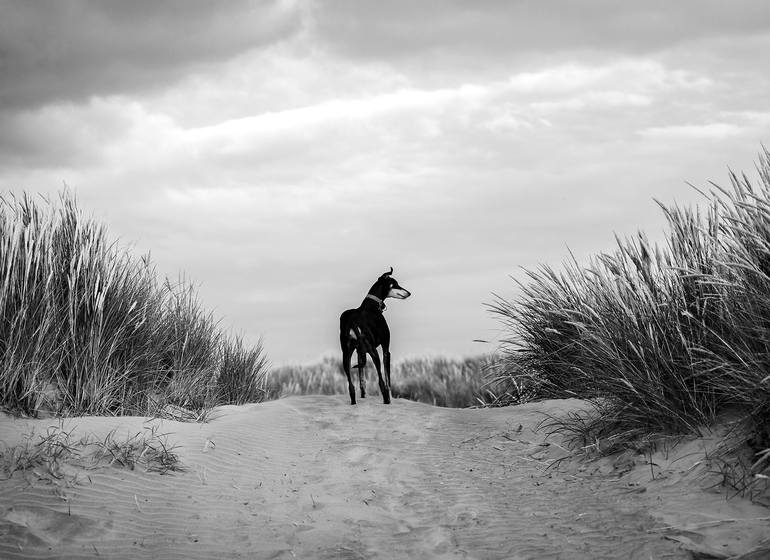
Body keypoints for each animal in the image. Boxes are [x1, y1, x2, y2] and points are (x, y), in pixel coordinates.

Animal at [338, 266, 408, 402]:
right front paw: (391, 398)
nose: (409, 293)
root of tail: (352, 320)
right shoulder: (386, 349)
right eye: (394, 284)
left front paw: (364, 396)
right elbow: (387, 379)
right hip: (373, 351)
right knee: (381, 382)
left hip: (346, 354)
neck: (372, 306)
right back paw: (386, 400)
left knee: (351, 387)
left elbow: (362, 380)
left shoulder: (360, 352)